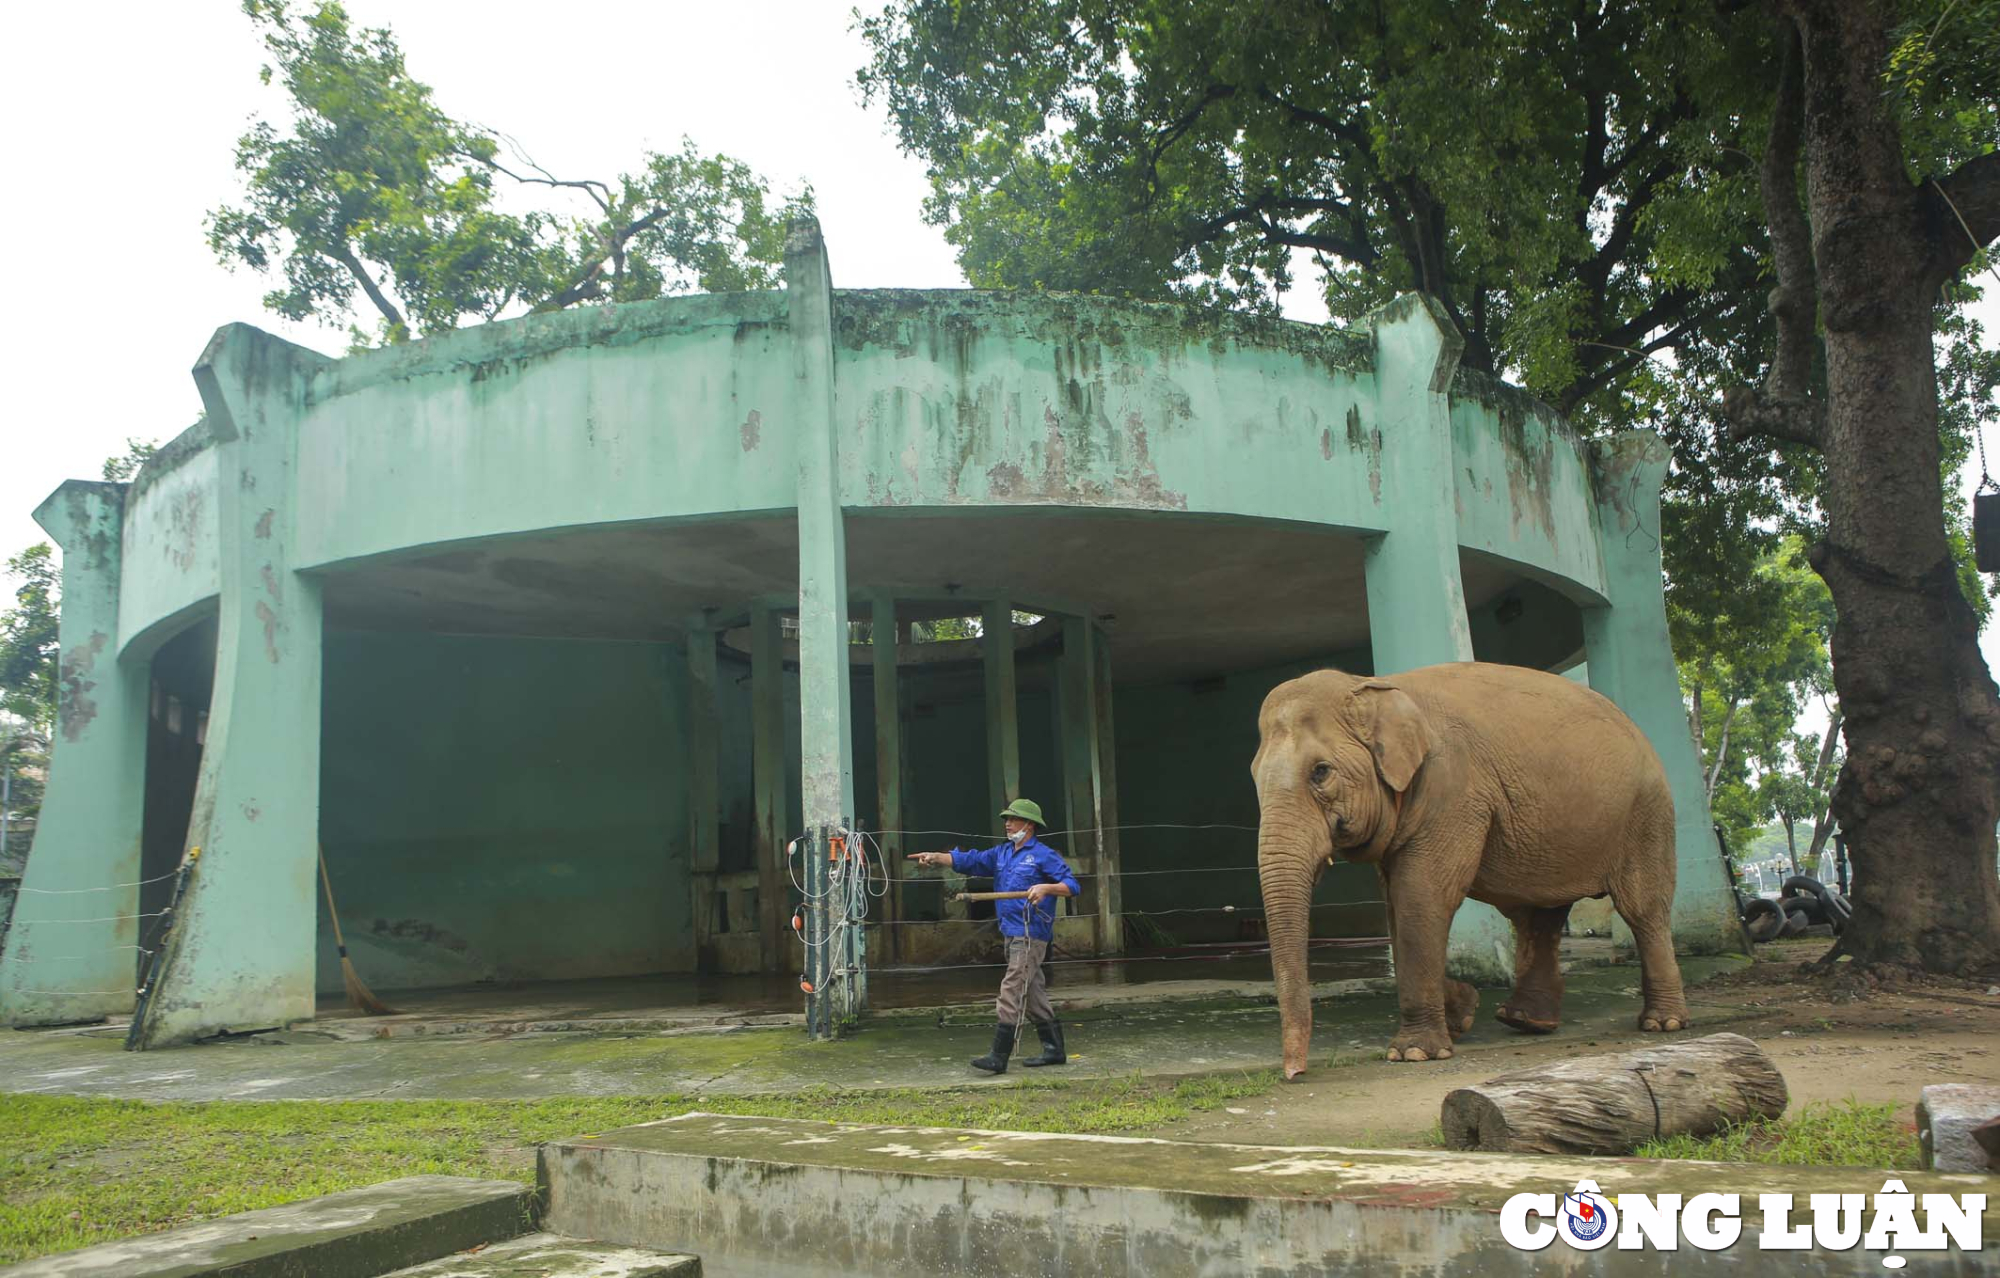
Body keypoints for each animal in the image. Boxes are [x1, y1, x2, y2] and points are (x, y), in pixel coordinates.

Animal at [1248, 660, 1688, 1080]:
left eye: (1320, 771)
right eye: (1254, 777)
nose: (1295, 1072)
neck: (1374, 685)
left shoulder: (1452, 791)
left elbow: (1421, 897)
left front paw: (1414, 1053)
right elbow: (1397, 907)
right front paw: (1463, 1012)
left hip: (1646, 814)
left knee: (1643, 909)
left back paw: (1662, 1024)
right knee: (1539, 917)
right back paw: (1524, 1020)